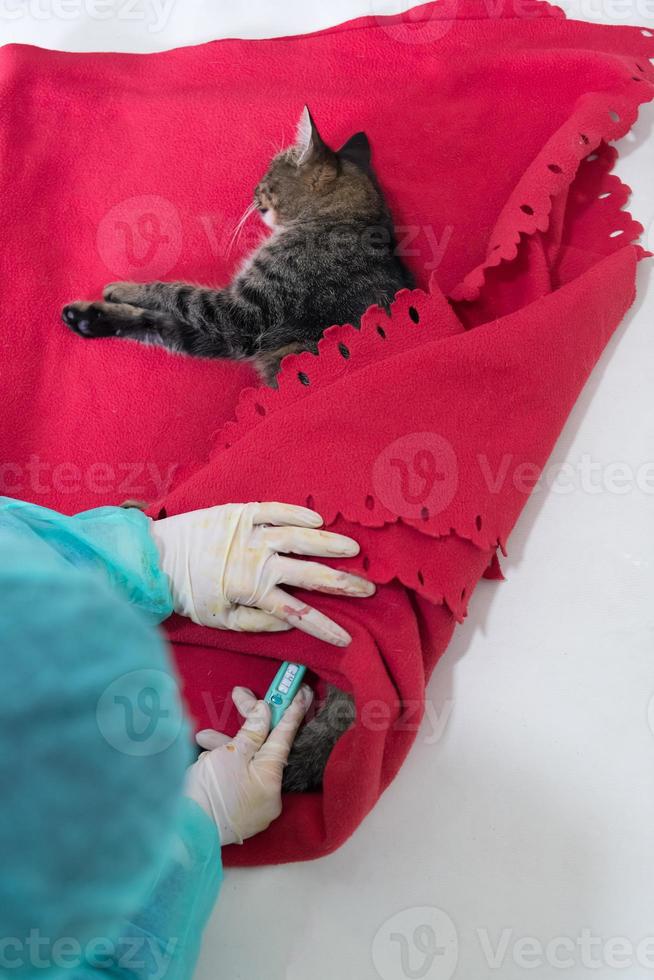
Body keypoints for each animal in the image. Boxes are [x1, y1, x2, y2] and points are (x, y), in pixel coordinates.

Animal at [61, 109, 412, 796]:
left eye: (266, 176)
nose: (252, 195)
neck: (350, 223)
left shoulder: (236, 314)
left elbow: (171, 297)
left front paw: (107, 302)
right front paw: (117, 291)